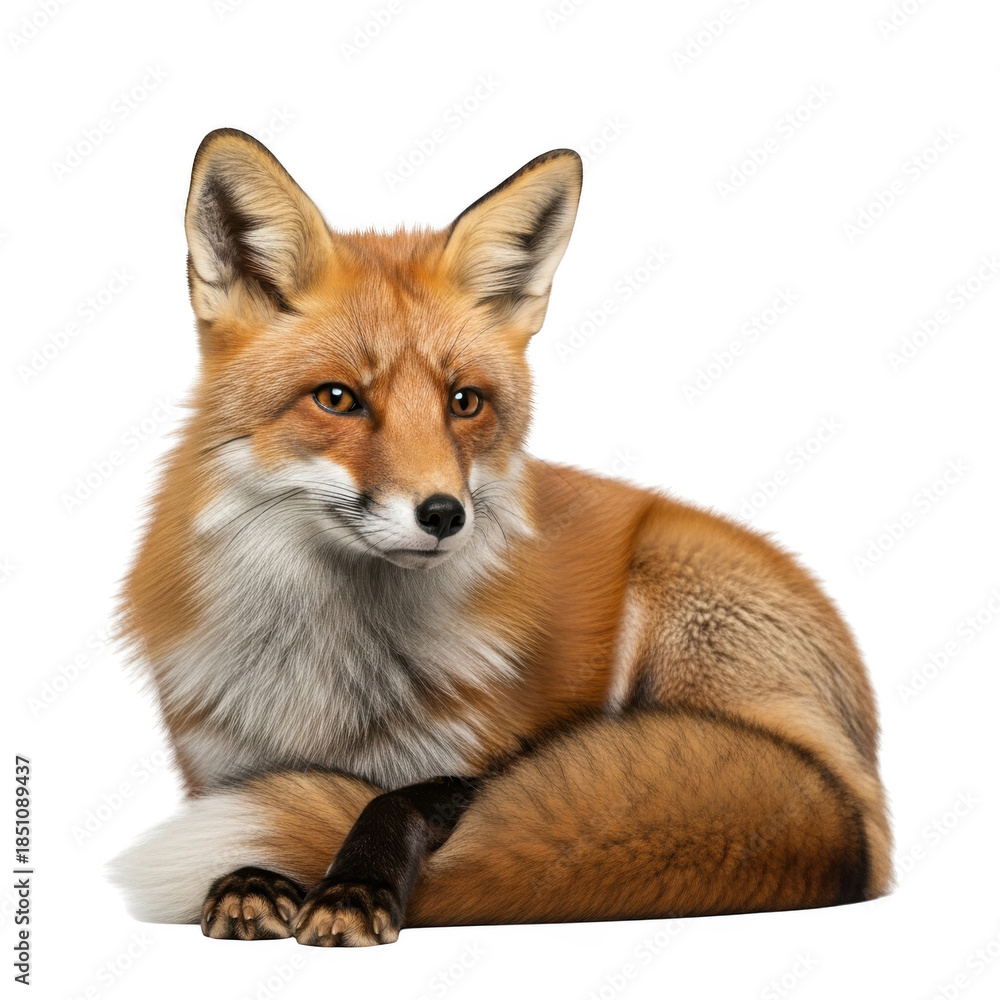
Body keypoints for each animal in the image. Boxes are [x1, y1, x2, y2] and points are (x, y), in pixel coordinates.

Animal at [110, 128, 892, 946]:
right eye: (338, 398)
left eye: (464, 402)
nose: (444, 514)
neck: (326, 682)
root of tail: (860, 812)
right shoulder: (220, 766)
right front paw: (252, 881)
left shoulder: (484, 764)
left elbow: (392, 800)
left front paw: (355, 886)